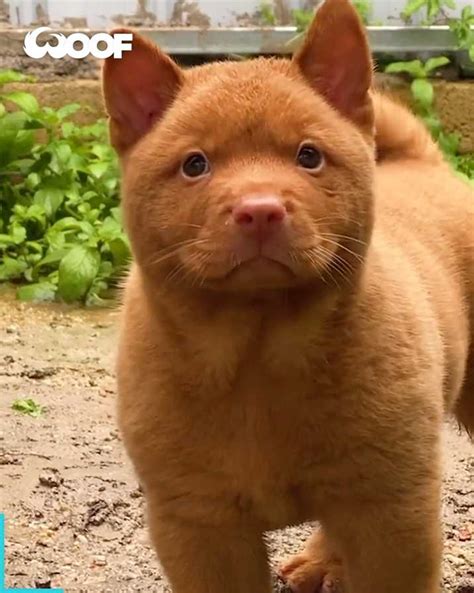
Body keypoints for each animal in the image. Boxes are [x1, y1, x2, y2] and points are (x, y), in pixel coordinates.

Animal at [103, 1, 474, 592]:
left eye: (309, 157)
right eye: (195, 165)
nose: (260, 210)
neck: (258, 355)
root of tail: (426, 164)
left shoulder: (392, 513)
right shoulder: (199, 522)